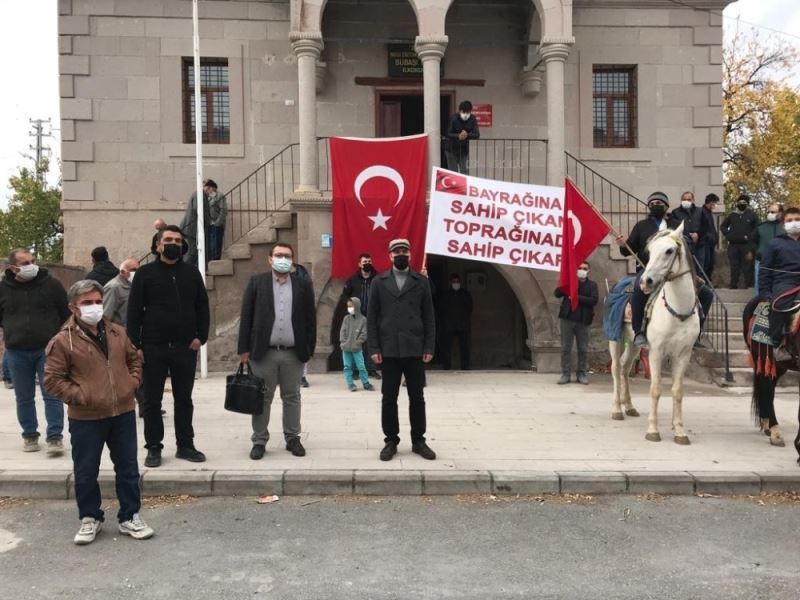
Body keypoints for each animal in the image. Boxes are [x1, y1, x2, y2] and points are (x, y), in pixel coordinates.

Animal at [612, 223, 700, 442]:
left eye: (669, 250)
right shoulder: (656, 351)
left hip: (633, 343)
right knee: (616, 368)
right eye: (649, 251)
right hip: (614, 338)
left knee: (625, 367)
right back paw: (617, 409)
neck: (678, 310)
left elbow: (677, 391)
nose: (645, 281)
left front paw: (679, 430)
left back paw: (629, 406)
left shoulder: (683, 354)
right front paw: (653, 429)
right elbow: (656, 389)